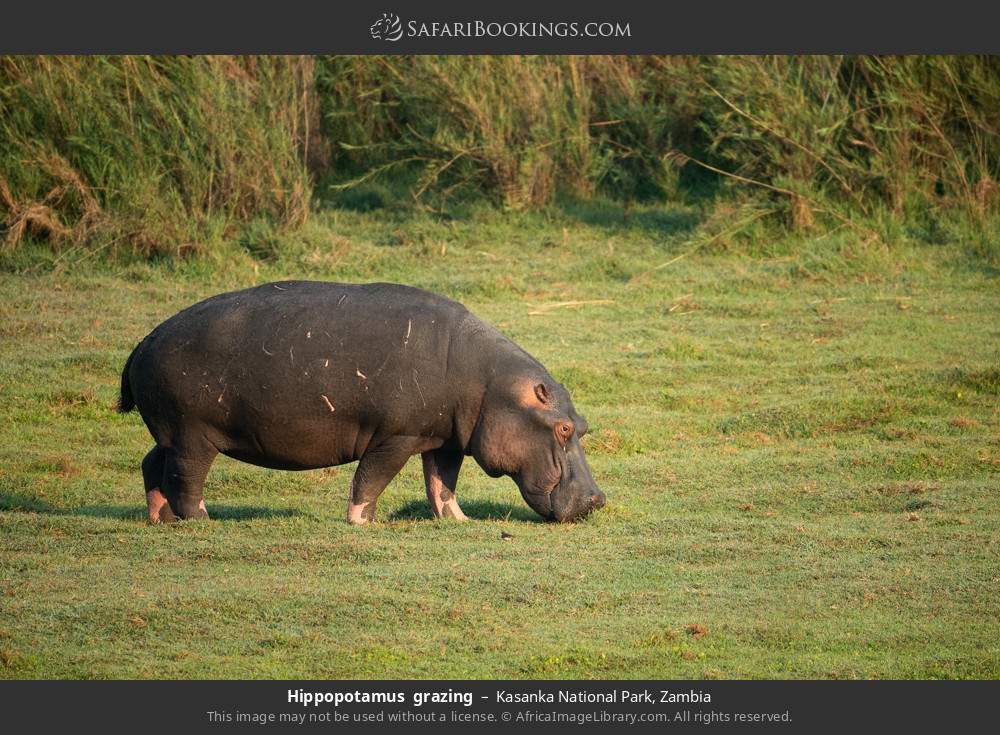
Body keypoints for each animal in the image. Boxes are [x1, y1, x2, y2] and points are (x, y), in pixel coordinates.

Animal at [118, 281, 606, 525]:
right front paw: (361, 522)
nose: (597, 499)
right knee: (187, 477)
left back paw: (158, 519)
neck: (489, 384)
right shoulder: (397, 435)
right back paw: (202, 520)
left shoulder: (443, 438)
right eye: (563, 428)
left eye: (581, 426)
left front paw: (459, 521)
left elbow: (441, 483)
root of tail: (143, 342)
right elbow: (372, 477)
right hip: (192, 434)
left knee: (152, 464)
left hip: (170, 432)